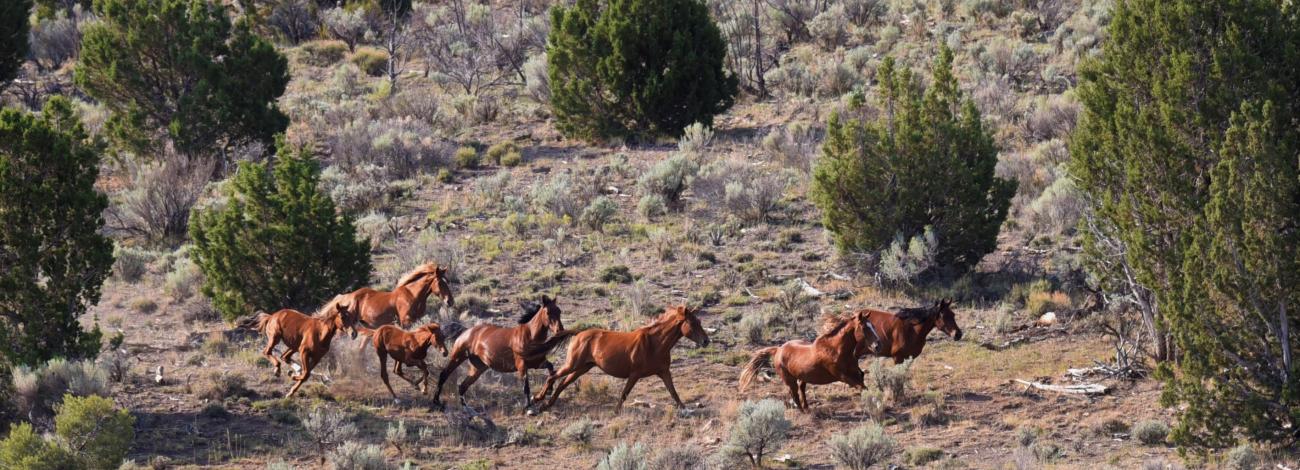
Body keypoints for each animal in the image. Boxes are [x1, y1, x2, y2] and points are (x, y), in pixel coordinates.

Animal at [318, 262, 452, 328]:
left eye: (447, 281)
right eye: (440, 282)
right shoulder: (406, 321)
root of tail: (348, 297)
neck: (412, 295)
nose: (450, 301)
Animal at [431, 297, 564, 407]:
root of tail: (465, 331)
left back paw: (466, 408)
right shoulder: (522, 365)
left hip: (478, 367)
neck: (530, 336)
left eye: (559, 311)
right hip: (458, 357)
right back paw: (436, 401)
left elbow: (551, 369)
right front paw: (528, 406)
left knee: (463, 386)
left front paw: (549, 390)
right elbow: (526, 386)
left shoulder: (537, 363)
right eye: (548, 312)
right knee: (444, 375)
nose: (560, 330)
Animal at [530, 305, 712, 410]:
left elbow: (673, 392)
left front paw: (685, 409)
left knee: (562, 383)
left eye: (699, 321)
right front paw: (616, 411)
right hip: (573, 364)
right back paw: (538, 398)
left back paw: (547, 404)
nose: (706, 341)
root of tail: (579, 333)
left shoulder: (664, 372)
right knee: (553, 376)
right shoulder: (635, 374)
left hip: (582, 367)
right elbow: (625, 393)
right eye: (693, 323)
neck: (655, 344)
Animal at [738, 311, 878, 410]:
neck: (836, 349)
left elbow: (862, 380)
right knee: (794, 393)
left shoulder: (854, 371)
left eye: (872, 326)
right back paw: (801, 410)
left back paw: (806, 407)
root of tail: (778, 349)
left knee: (801, 389)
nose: (877, 345)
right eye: (864, 328)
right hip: (789, 379)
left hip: (802, 377)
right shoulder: (842, 376)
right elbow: (861, 387)